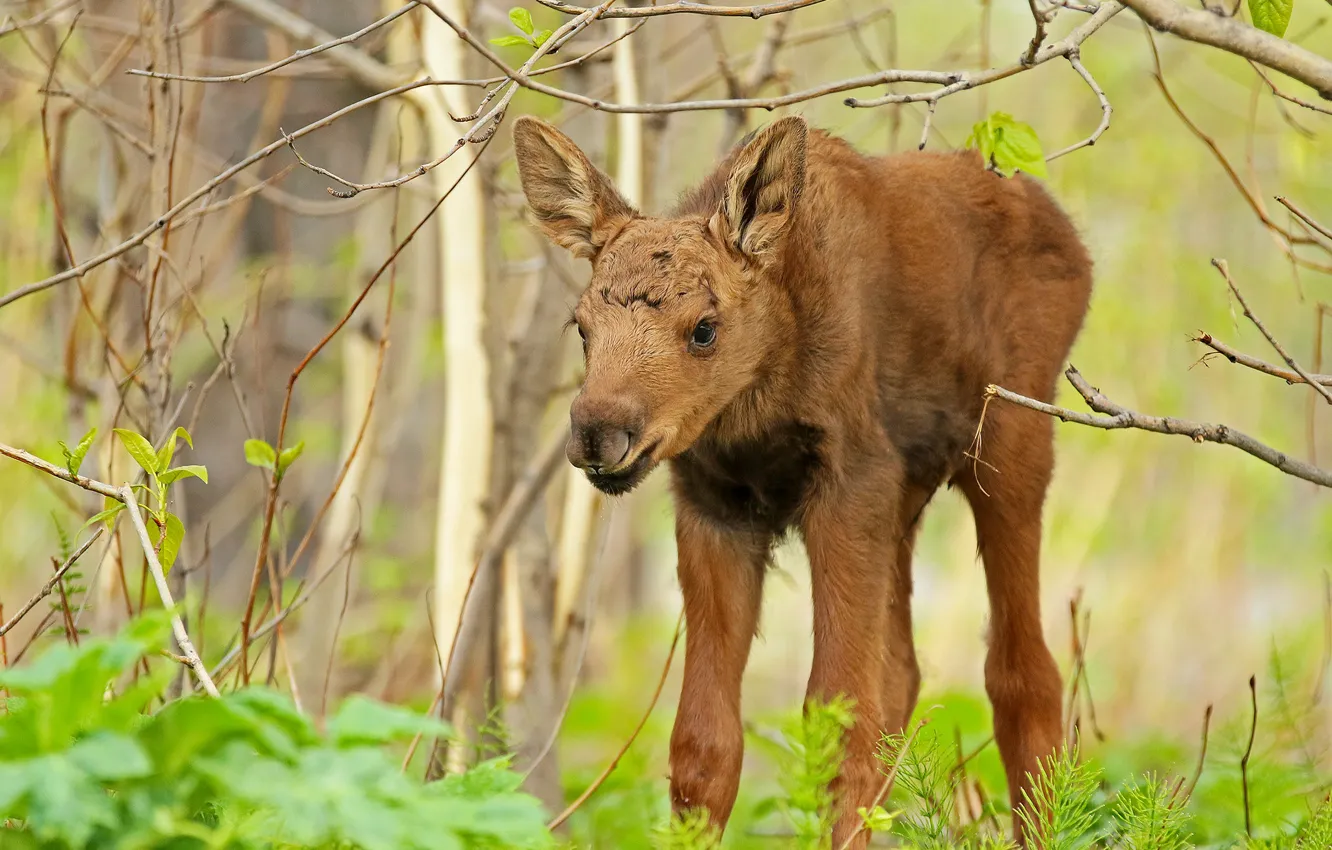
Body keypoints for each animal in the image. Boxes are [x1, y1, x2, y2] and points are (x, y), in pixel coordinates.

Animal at [513, 112, 1092, 848]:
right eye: (581, 326)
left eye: (704, 329)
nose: (599, 432)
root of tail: (1074, 243)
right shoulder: (715, 507)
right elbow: (704, 742)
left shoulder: (848, 487)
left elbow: (836, 722)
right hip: (905, 503)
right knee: (904, 672)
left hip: (1012, 448)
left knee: (1023, 675)